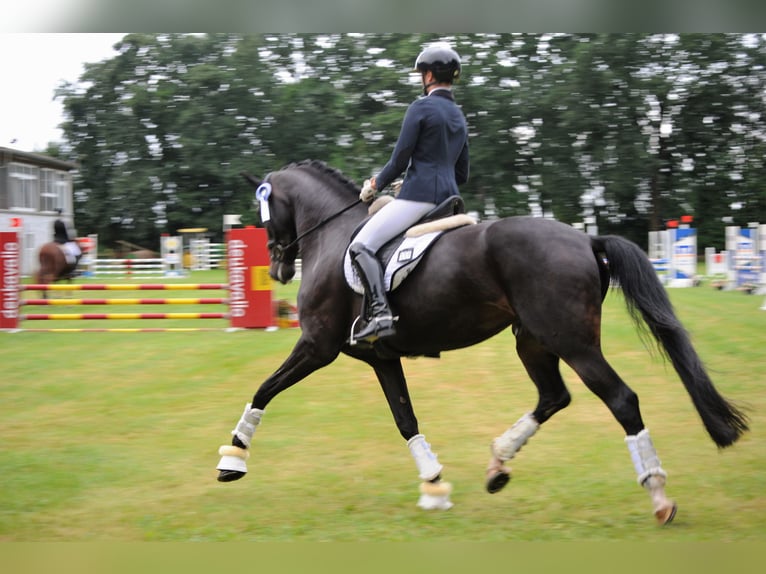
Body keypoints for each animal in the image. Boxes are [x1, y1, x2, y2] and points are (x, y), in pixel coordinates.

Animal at [216, 160, 752, 524]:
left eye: (266, 210)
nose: (279, 268)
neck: (334, 237)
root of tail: (586, 239)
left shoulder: (317, 346)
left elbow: (265, 388)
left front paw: (232, 459)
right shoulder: (380, 357)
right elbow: (405, 419)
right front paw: (434, 484)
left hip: (573, 342)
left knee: (621, 399)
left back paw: (659, 496)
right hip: (533, 341)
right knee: (553, 396)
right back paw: (497, 464)